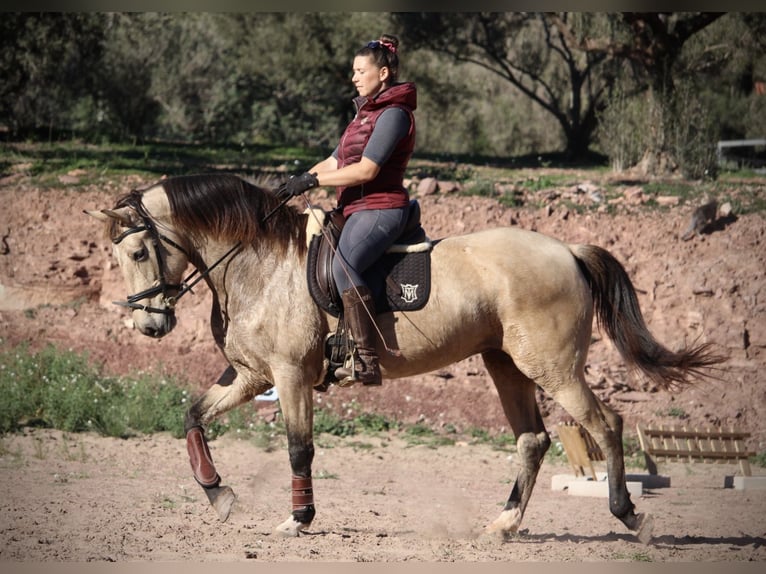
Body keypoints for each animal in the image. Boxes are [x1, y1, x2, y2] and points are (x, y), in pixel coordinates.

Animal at [87, 173, 724, 544]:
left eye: (139, 252)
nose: (150, 324)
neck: (258, 261)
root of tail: (566, 249)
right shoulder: (250, 376)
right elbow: (192, 415)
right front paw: (219, 496)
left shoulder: (290, 376)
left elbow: (298, 449)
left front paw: (298, 519)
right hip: (505, 365)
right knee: (533, 440)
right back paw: (504, 523)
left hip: (553, 367)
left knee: (604, 423)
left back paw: (629, 515)